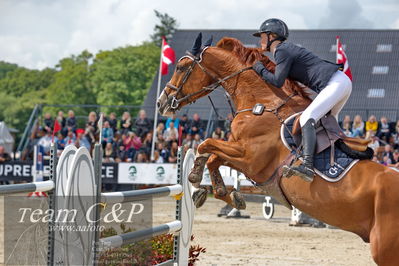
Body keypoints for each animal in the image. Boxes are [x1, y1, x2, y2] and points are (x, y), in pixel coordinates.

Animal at [156, 34, 399, 264]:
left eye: (181, 67)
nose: (162, 102)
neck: (262, 104)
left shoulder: (252, 160)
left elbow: (206, 144)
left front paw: (195, 176)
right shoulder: (240, 154)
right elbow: (214, 159)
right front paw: (227, 196)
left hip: (384, 248)